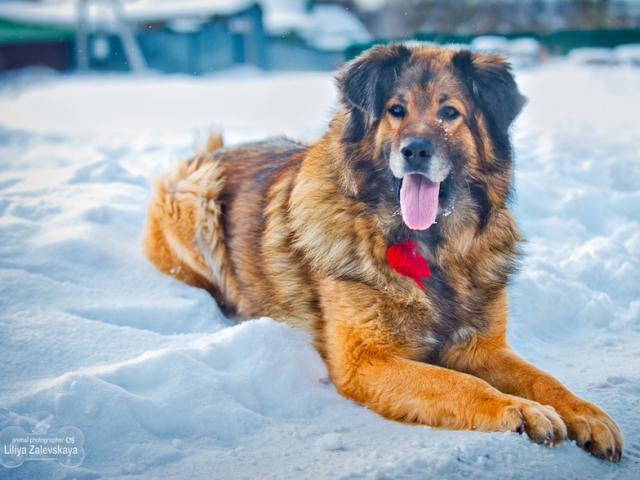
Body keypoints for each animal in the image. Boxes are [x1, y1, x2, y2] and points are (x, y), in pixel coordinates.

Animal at [142, 44, 624, 462]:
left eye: (450, 113)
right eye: (396, 110)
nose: (415, 151)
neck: (429, 248)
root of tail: (213, 151)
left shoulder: (482, 348)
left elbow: (544, 379)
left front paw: (587, 413)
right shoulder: (366, 361)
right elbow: (458, 384)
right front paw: (519, 409)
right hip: (196, 196)